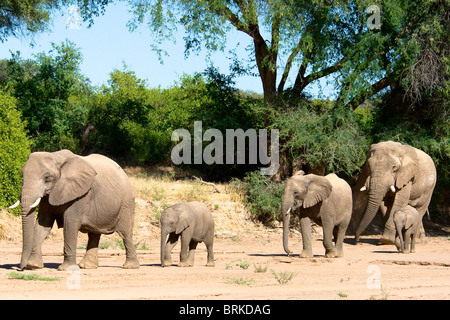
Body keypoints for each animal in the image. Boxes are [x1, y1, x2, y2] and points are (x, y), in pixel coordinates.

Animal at [8, 150, 139, 270]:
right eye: (22, 175)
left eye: (47, 177)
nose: (21, 268)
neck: (56, 157)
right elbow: (43, 224)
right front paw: (34, 265)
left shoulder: (80, 195)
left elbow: (70, 224)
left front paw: (66, 268)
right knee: (94, 234)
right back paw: (87, 266)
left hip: (127, 202)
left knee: (125, 234)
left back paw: (130, 266)